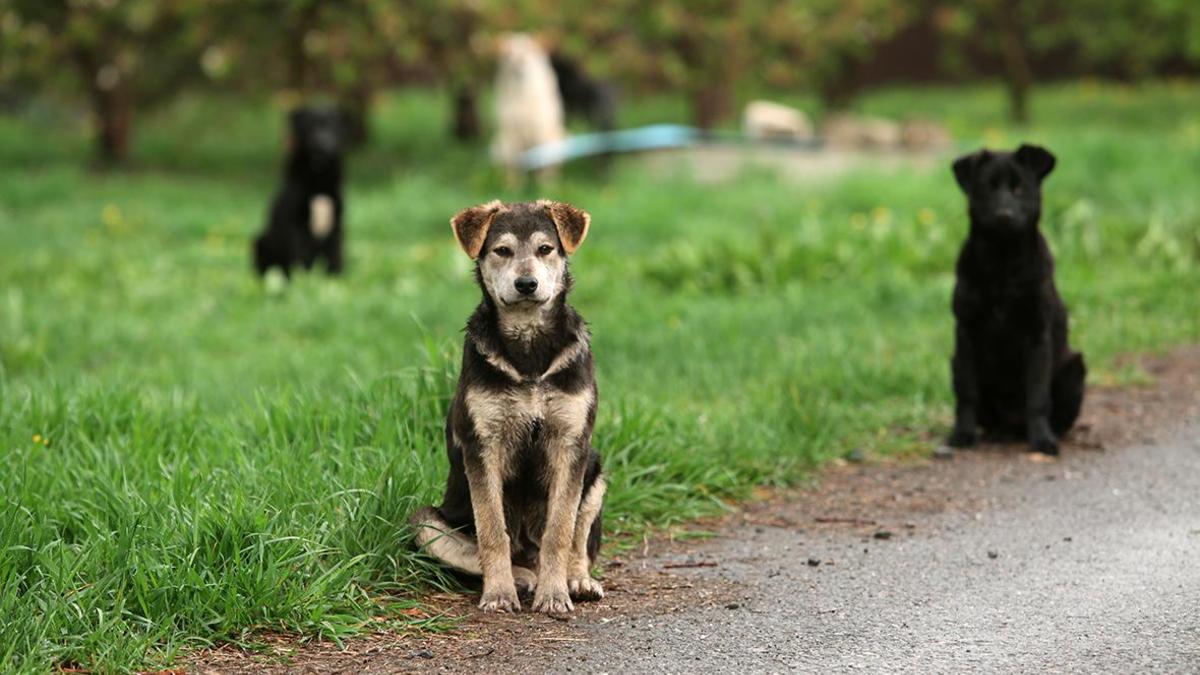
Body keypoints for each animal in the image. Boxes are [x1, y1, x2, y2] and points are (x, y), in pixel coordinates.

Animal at [253, 106, 345, 275]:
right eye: (311, 126)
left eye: (332, 127)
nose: (324, 145)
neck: (318, 182)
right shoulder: (296, 226)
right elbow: (300, 258)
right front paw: (303, 279)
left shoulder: (336, 226)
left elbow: (334, 258)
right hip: (260, 241)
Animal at [410, 198, 604, 610]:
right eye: (502, 251)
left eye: (546, 249)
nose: (526, 284)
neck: (529, 344)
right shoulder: (483, 444)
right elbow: (491, 530)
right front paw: (498, 594)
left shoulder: (571, 443)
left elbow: (560, 530)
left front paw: (554, 594)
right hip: (425, 522)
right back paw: (521, 578)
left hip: (596, 469)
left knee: (578, 539)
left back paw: (576, 580)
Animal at [489, 32, 564, 180]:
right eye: (508, 52)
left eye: (531, 50)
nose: (520, 61)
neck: (521, 93)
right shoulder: (510, 132)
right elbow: (514, 163)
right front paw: (513, 183)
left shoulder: (541, 128)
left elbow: (543, 161)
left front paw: (545, 183)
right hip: (499, 144)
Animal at [945, 144, 1089, 454]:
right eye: (987, 188)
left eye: (1020, 187)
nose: (1004, 215)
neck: (1003, 263)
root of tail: (1012, 425)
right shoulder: (966, 333)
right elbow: (967, 393)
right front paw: (963, 434)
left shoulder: (1037, 335)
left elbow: (1037, 396)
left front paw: (1043, 439)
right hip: (954, 362)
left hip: (1074, 368)